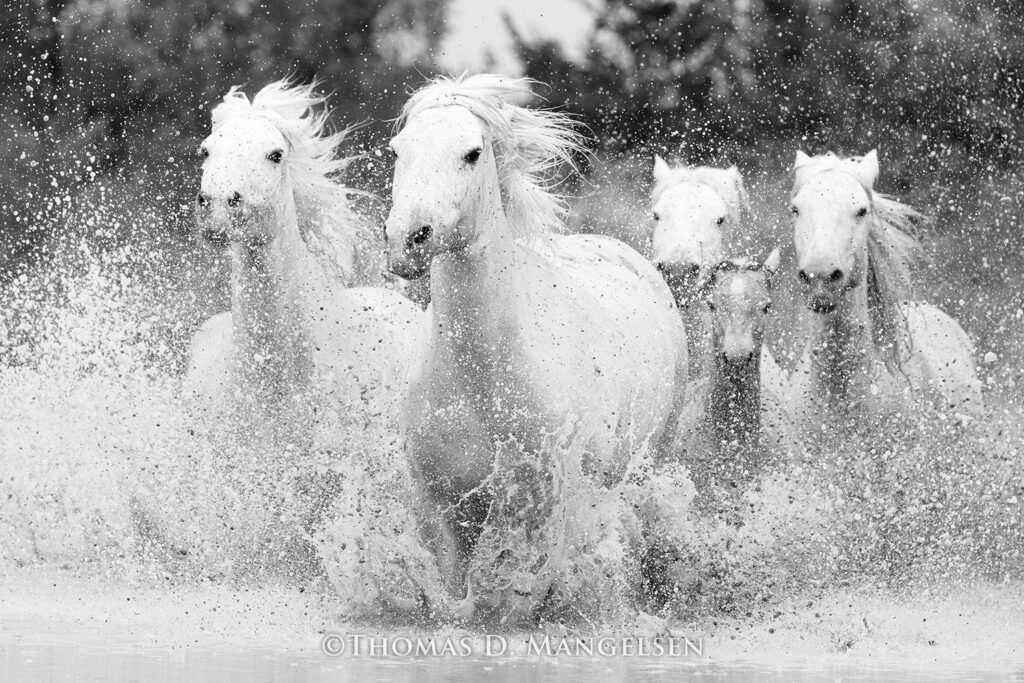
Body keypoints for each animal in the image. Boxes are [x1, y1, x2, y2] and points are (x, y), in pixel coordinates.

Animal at [385, 73, 688, 618]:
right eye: (398, 150)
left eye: (472, 153)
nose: (408, 240)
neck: (484, 376)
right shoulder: (435, 501)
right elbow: (456, 591)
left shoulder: (543, 501)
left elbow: (517, 587)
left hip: (650, 460)